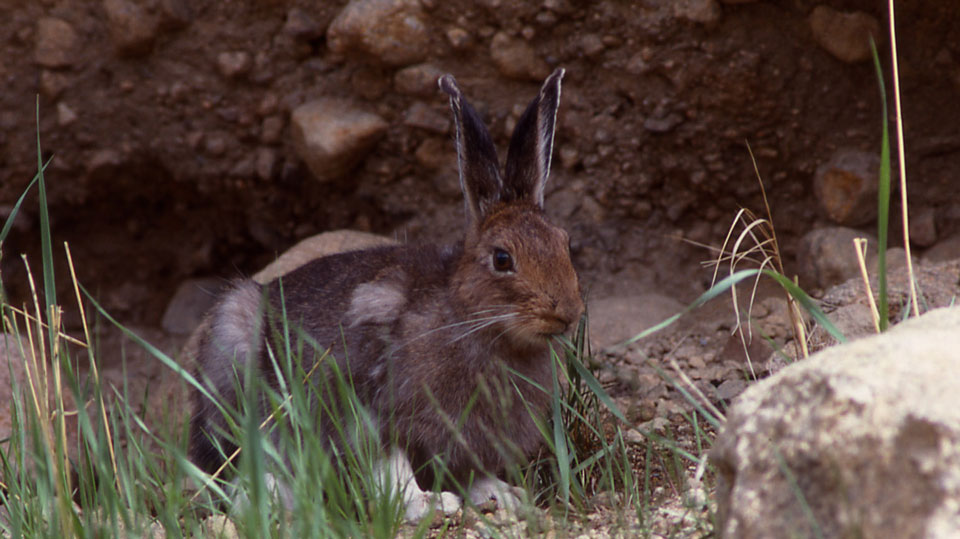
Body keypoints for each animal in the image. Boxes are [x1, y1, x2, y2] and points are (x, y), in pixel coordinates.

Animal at [188, 67, 583, 521]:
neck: (471, 319)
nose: (567, 313)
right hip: (232, 358)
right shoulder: (370, 409)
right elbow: (390, 466)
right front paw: (427, 505)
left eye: (565, 242)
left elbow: (470, 470)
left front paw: (504, 495)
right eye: (502, 259)